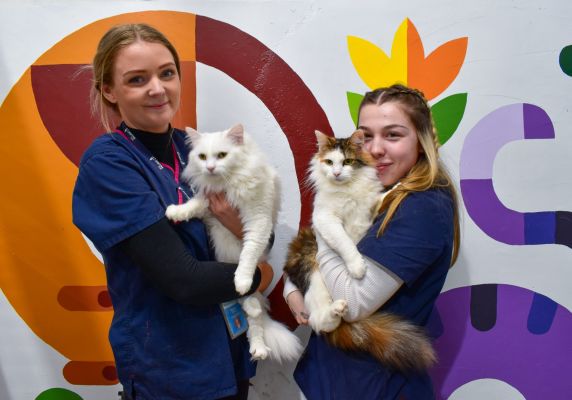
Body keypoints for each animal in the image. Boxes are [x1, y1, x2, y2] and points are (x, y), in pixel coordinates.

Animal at [166, 124, 304, 362]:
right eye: (202, 157)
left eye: (222, 155)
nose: (210, 168)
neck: (226, 184)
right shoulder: (208, 202)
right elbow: (193, 205)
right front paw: (174, 212)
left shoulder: (258, 221)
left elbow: (248, 254)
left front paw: (241, 280)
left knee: (255, 322)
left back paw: (258, 344)